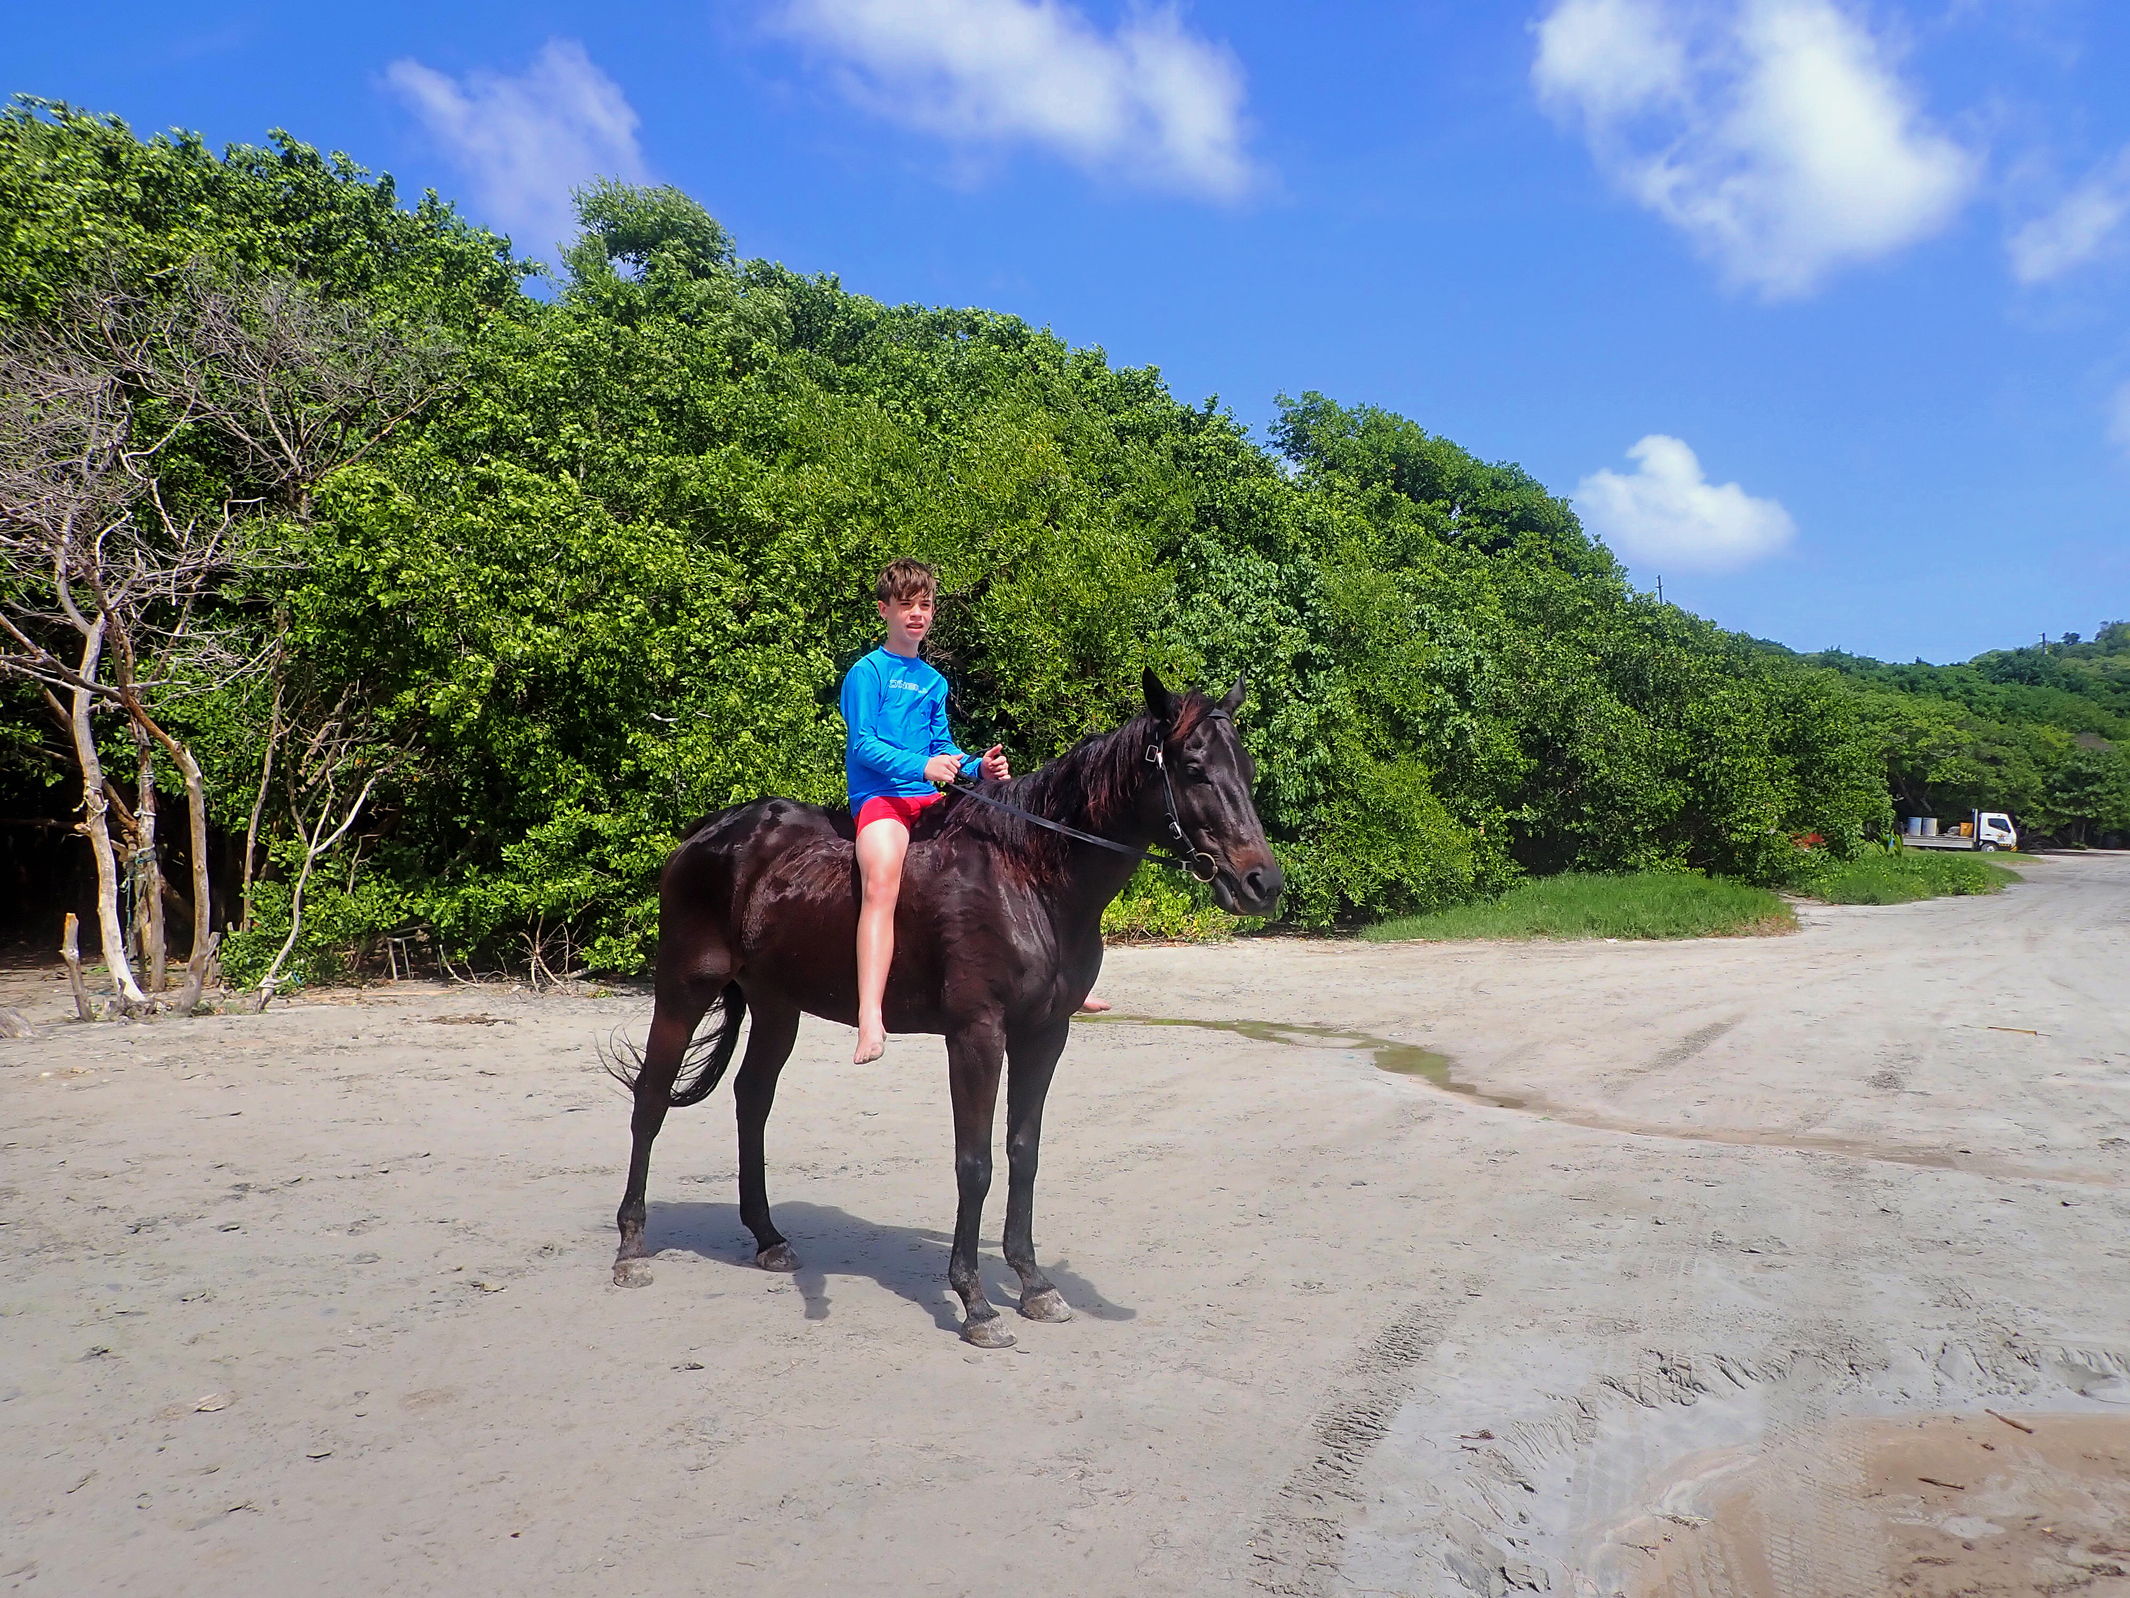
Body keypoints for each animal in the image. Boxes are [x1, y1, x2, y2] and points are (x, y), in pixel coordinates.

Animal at [613, 669, 1278, 1346]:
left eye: (1246, 769)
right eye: (1193, 769)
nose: (1263, 884)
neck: (1029, 875)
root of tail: (707, 834)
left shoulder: (1045, 1035)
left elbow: (1023, 1152)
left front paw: (1033, 1283)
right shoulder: (976, 1035)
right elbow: (974, 1163)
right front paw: (975, 1301)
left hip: (777, 1007)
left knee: (752, 1101)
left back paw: (768, 1237)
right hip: (683, 991)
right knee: (651, 1098)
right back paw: (631, 1245)